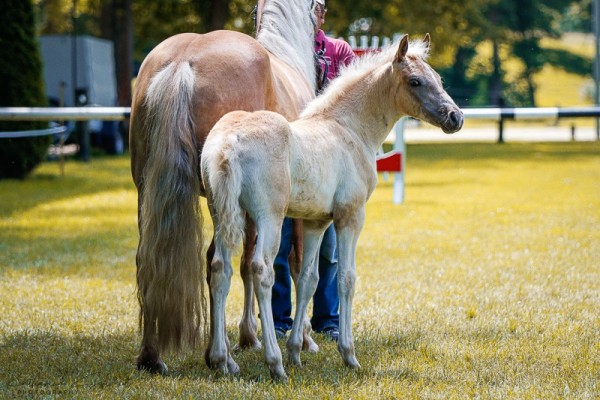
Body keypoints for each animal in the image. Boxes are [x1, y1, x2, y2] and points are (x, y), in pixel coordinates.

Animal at [202, 33, 464, 378]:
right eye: (415, 81)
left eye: (438, 79)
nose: (455, 118)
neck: (347, 129)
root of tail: (228, 142)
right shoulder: (350, 217)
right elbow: (346, 279)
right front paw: (348, 355)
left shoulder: (317, 222)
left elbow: (308, 279)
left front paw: (297, 351)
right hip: (269, 217)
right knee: (262, 271)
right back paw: (274, 363)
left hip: (222, 214)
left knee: (220, 267)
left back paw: (223, 361)